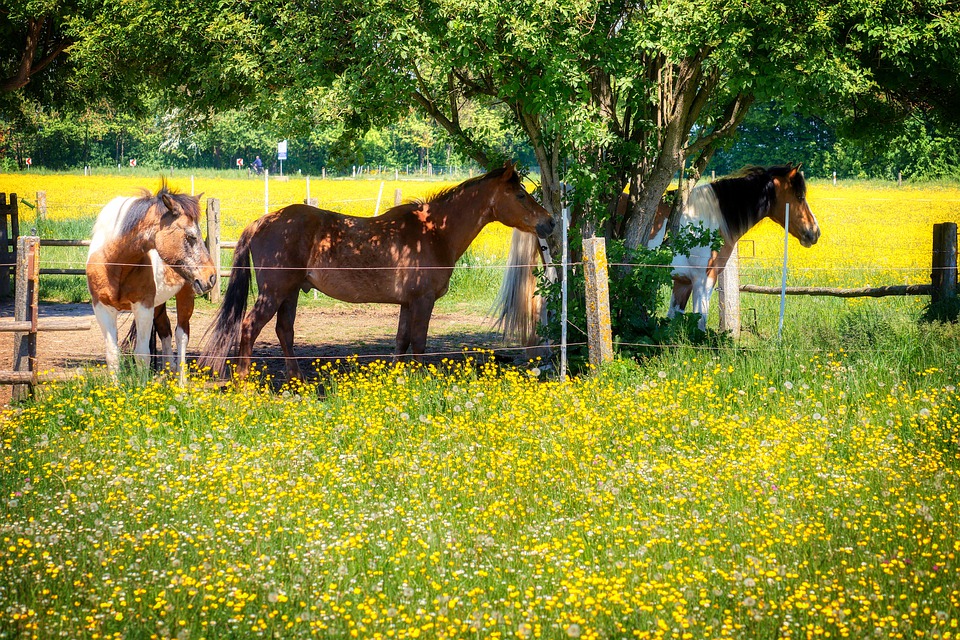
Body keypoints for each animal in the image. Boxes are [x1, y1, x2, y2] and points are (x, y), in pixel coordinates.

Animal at [86, 182, 218, 380]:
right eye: (190, 236)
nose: (211, 277)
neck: (113, 263)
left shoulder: (143, 307)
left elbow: (142, 355)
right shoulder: (102, 307)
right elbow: (112, 355)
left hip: (185, 295)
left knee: (181, 335)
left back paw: (181, 383)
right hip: (159, 304)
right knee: (165, 330)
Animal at [198, 162, 556, 380]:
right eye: (521, 195)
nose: (549, 222)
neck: (433, 231)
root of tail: (264, 221)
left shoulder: (407, 304)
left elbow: (401, 341)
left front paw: (399, 379)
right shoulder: (423, 301)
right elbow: (419, 342)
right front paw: (419, 380)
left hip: (290, 293)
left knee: (284, 331)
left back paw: (297, 381)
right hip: (275, 292)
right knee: (249, 327)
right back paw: (244, 381)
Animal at [656, 165, 820, 330]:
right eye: (800, 196)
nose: (815, 231)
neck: (710, 221)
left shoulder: (683, 282)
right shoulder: (703, 280)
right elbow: (699, 324)